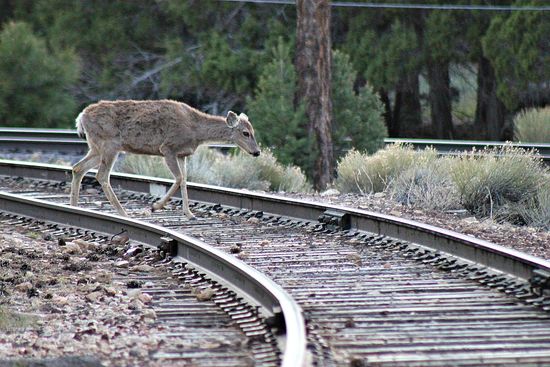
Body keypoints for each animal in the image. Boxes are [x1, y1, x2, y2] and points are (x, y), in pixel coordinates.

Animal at [69, 99, 264, 220]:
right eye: (245, 133)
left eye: (252, 130)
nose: (257, 152)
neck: (196, 131)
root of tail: (81, 117)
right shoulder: (168, 148)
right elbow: (178, 179)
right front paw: (155, 206)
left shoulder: (182, 154)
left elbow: (185, 181)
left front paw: (189, 214)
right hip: (109, 144)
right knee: (101, 175)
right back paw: (123, 213)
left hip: (96, 148)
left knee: (78, 168)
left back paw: (74, 207)